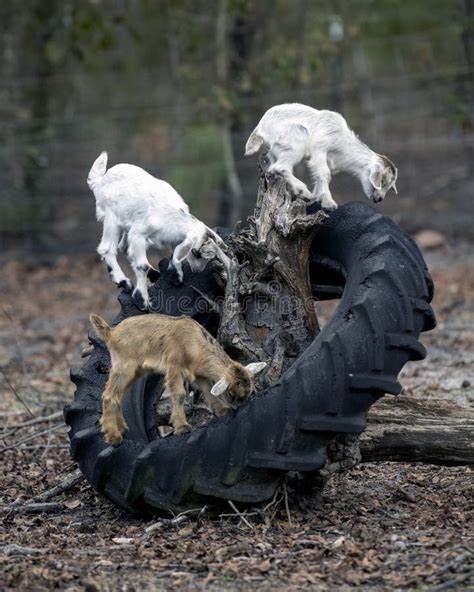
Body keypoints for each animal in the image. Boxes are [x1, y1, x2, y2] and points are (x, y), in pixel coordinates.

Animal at [88, 151, 230, 310]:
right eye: (195, 252)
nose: (197, 270)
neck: (169, 214)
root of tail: (100, 181)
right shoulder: (138, 234)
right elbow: (142, 265)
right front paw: (141, 300)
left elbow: (174, 252)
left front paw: (176, 276)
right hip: (111, 218)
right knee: (107, 248)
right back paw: (124, 281)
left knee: (124, 248)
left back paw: (154, 274)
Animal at [89, 314, 266, 444]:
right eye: (231, 394)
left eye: (249, 391)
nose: (239, 408)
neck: (193, 343)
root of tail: (110, 332)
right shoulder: (174, 366)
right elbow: (179, 394)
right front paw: (182, 427)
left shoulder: (199, 374)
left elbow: (208, 391)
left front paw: (222, 411)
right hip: (123, 367)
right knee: (109, 395)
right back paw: (113, 437)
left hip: (135, 372)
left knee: (118, 396)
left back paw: (122, 429)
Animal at [246, 103, 398, 210]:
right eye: (383, 181)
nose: (379, 199)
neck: (342, 144)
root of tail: (259, 129)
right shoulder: (319, 149)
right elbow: (325, 174)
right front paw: (328, 202)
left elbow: (319, 176)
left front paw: (318, 199)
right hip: (297, 133)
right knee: (278, 167)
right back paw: (303, 192)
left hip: (274, 151)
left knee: (272, 167)